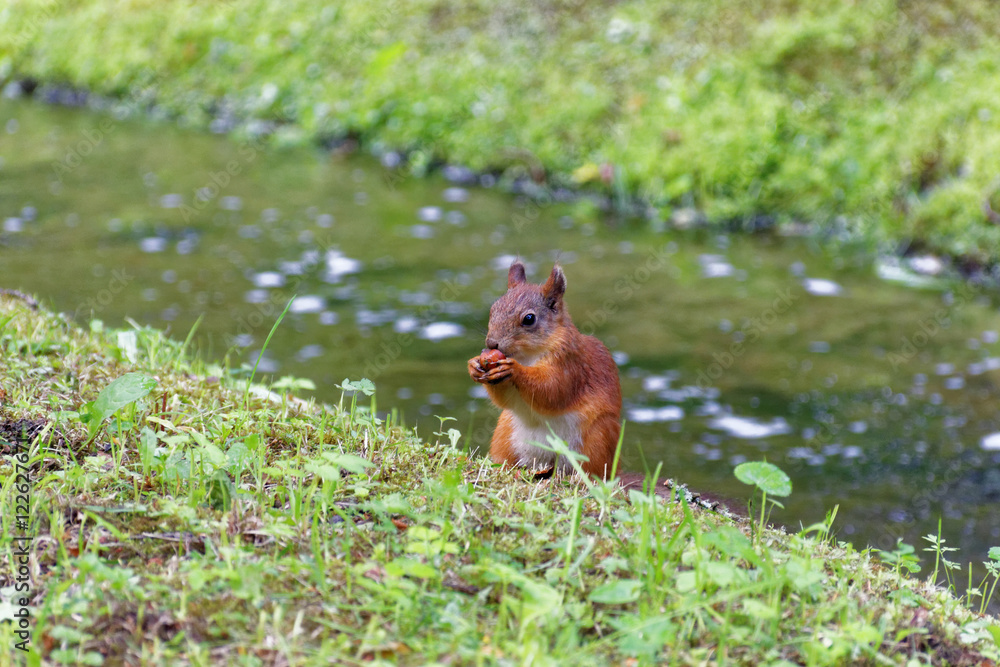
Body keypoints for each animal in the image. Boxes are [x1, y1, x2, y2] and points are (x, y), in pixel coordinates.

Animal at [467, 261, 623, 478]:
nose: (491, 343)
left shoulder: (570, 365)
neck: (527, 355)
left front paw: (515, 370)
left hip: (597, 438)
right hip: (504, 434)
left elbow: (552, 389)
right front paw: (474, 365)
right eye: (493, 309)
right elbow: (505, 399)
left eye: (529, 319)